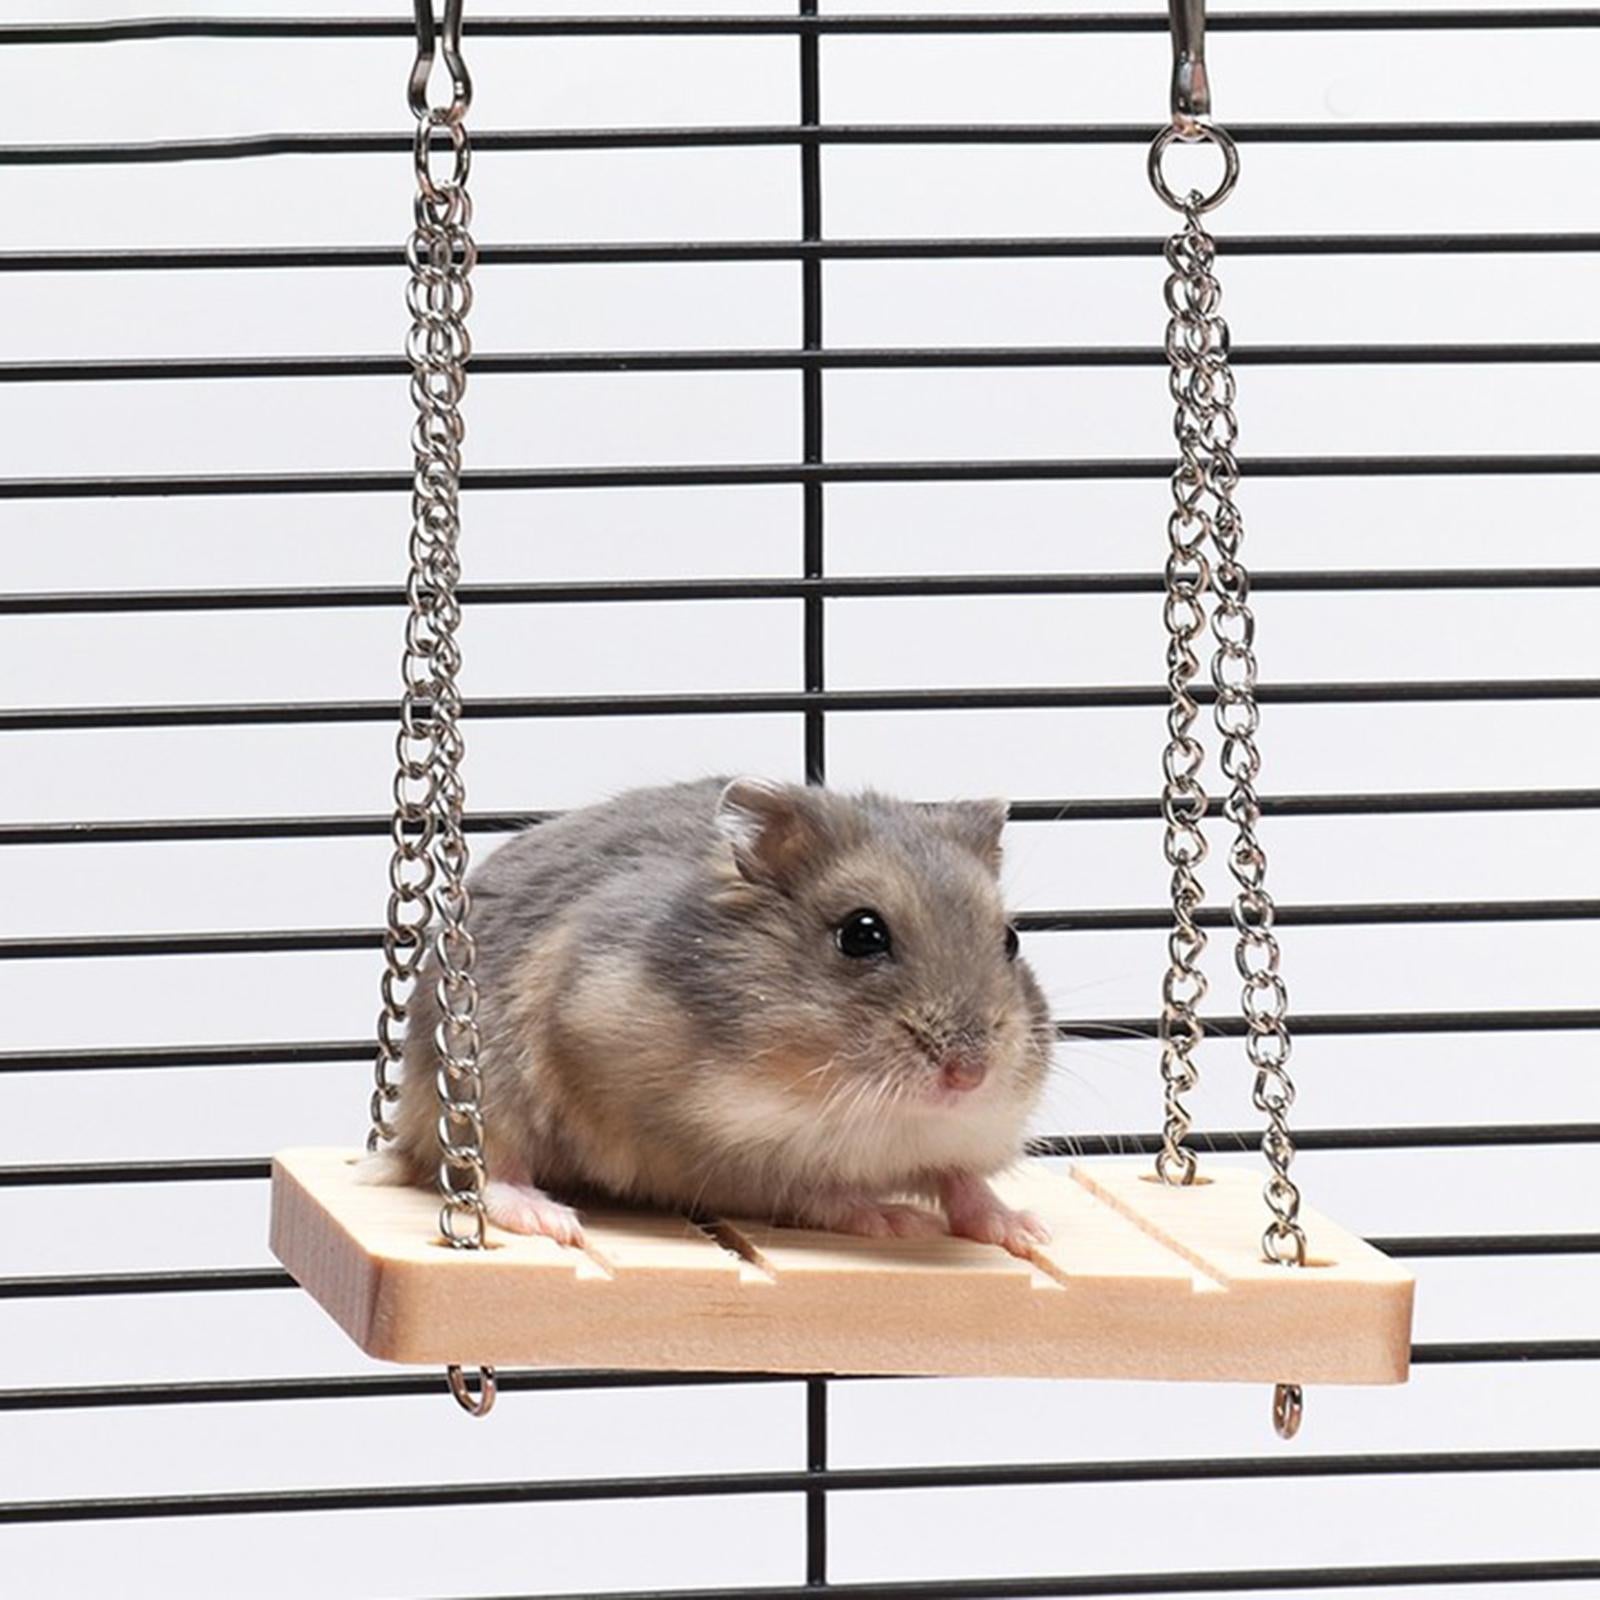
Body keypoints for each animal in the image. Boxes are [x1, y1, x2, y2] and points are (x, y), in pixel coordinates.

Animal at [374, 776, 1055, 1257]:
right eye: (862, 935)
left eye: (1011, 940)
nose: (969, 1075)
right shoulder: (707, 1150)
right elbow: (820, 1190)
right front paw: (899, 1220)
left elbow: (963, 1181)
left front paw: (1027, 1230)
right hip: (479, 1084)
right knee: (482, 1164)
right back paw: (553, 1219)